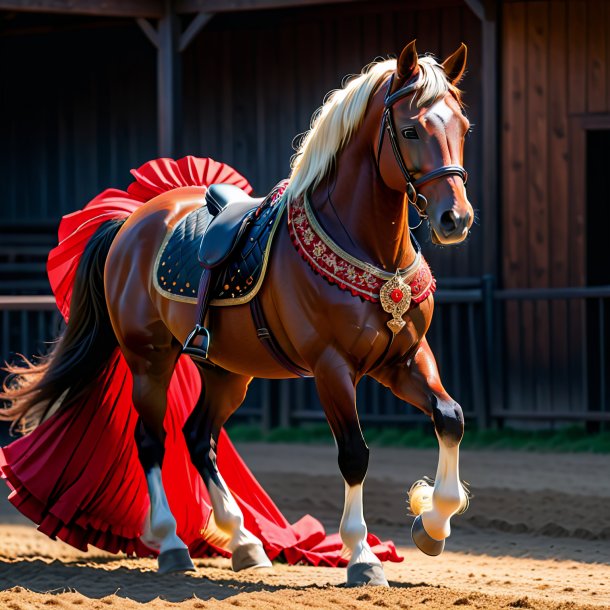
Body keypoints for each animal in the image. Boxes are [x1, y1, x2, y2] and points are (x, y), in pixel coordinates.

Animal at [1, 41, 470, 584]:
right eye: (411, 129)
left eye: (463, 127)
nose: (455, 218)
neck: (372, 253)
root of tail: (132, 222)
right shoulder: (332, 367)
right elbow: (354, 454)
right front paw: (362, 556)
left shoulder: (404, 358)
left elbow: (450, 417)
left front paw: (431, 525)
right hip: (150, 360)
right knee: (152, 439)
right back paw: (172, 544)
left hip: (226, 371)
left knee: (198, 437)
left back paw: (244, 540)